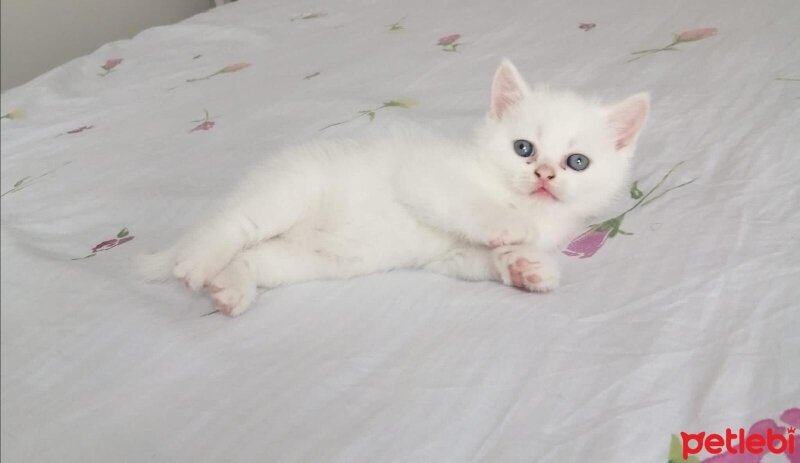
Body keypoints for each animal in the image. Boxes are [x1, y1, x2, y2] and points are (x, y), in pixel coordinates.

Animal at [138, 59, 648, 318]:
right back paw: (197, 262)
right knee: (232, 223)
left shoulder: (450, 257)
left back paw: (230, 289)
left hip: (302, 261)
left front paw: (525, 267)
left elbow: (479, 259)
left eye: (577, 162)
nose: (544, 174)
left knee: (253, 257)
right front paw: (507, 230)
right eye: (524, 148)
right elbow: (470, 205)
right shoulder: (425, 175)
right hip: (285, 192)